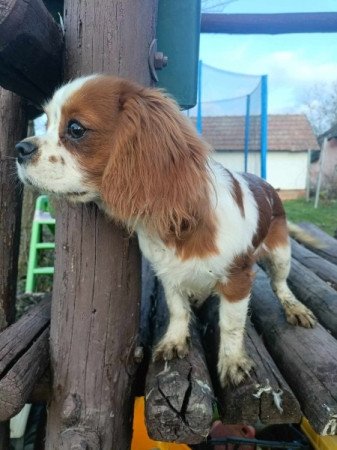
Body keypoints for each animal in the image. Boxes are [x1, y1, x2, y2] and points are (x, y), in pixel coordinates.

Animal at [15, 74, 316, 386]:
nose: (19, 149)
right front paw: (175, 340)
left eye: (75, 129)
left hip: (281, 254)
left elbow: (231, 324)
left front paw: (232, 361)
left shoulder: (237, 278)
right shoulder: (168, 272)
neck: (179, 223)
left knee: (280, 284)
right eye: (47, 121)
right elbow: (177, 308)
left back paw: (294, 308)